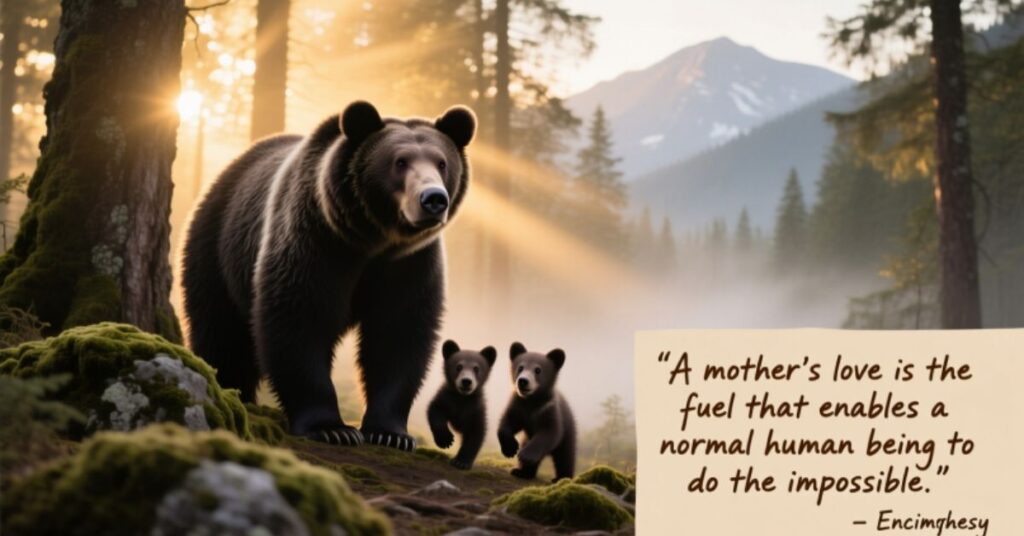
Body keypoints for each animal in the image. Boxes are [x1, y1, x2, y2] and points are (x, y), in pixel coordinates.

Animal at [180, 100, 475, 451]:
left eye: (442, 162)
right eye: (400, 161)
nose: (433, 199)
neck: (374, 240)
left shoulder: (410, 264)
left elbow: (398, 334)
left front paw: (390, 433)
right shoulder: (316, 240)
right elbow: (299, 319)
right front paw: (331, 427)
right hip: (216, 246)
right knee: (221, 331)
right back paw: (230, 388)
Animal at [426, 340, 496, 470]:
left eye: (476, 368)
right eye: (458, 366)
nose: (466, 381)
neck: (462, 397)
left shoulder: (475, 410)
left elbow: (476, 434)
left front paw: (461, 462)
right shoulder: (447, 398)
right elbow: (435, 411)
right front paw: (445, 440)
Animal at [497, 342, 577, 481]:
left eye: (538, 370)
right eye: (520, 367)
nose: (523, 381)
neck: (532, 400)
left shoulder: (548, 409)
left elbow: (549, 432)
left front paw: (525, 454)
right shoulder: (518, 405)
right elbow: (508, 422)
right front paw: (510, 448)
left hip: (569, 432)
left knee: (565, 456)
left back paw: (561, 478)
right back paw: (521, 471)